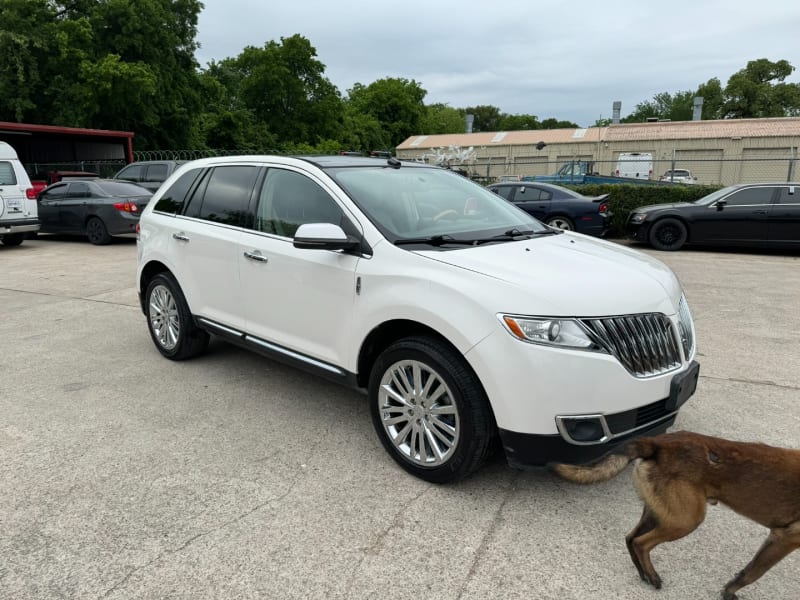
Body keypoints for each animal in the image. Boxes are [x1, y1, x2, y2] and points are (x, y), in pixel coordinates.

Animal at [552, 434, 796, 596]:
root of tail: (659, 444)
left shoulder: (777, 539)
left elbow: (748, 570)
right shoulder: (785, 539)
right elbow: (753, 573)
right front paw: (728, 593)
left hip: (659, 512)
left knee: (631, 538)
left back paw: (643, 573)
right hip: (686, 520)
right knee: (641, 542)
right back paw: (652, 576)